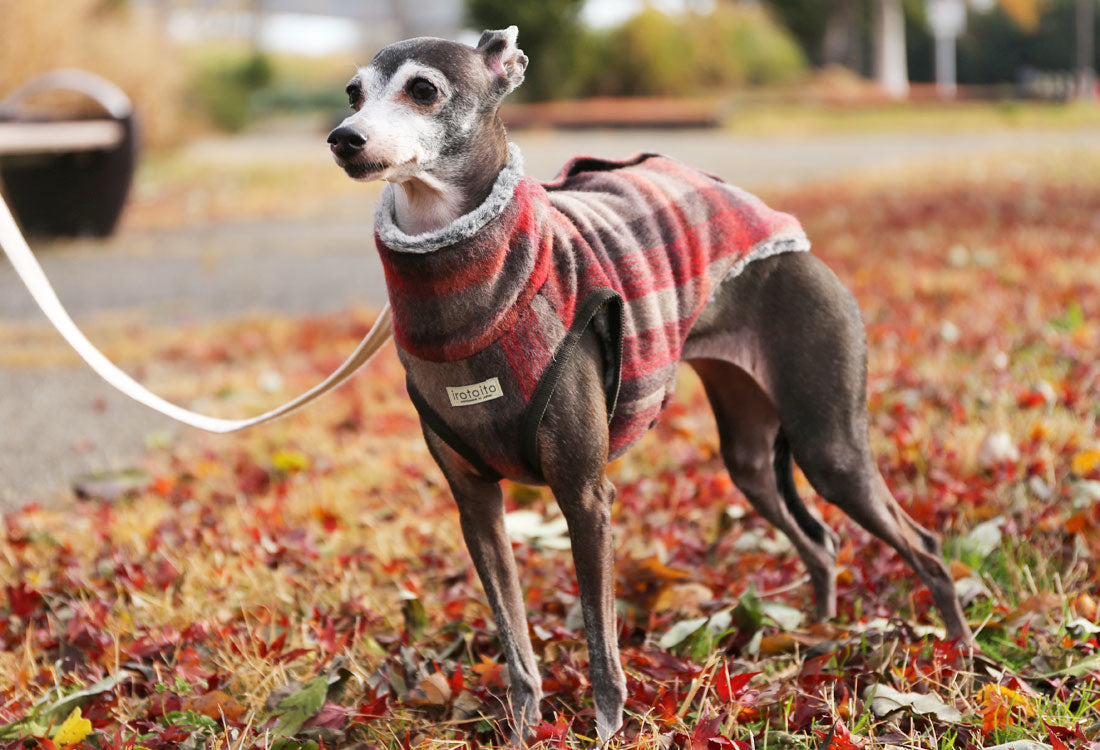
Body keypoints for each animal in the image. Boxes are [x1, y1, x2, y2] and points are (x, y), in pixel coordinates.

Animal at [325, 26, 972, 739]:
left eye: (423, 90)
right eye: (353, 93)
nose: (343, 138)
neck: (474, 293)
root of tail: (794, 243)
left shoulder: (585, 496)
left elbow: (601, 642)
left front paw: (608, 731)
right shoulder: (476, 507)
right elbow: (516, 643)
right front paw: (523, 731)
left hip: (830, 448)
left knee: (924, 545)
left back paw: (958, 656)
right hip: (750, 457)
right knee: (823, 543)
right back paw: (820, 640)